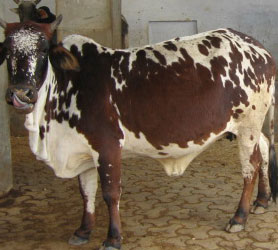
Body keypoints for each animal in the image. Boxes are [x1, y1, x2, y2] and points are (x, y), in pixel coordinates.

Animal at [0, 16, 276, 250]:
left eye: (43, 49)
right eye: (7, 50)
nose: (21, 93)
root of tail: (259, 49)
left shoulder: (108, 147)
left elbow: (110, 193)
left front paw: (113, 238)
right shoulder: (83, 148)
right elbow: (86, 191)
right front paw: (83, 230)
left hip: (248, 125)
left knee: (250, 166)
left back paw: (239, 217)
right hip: (253, 127)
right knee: (264, 150)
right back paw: (262, 201)